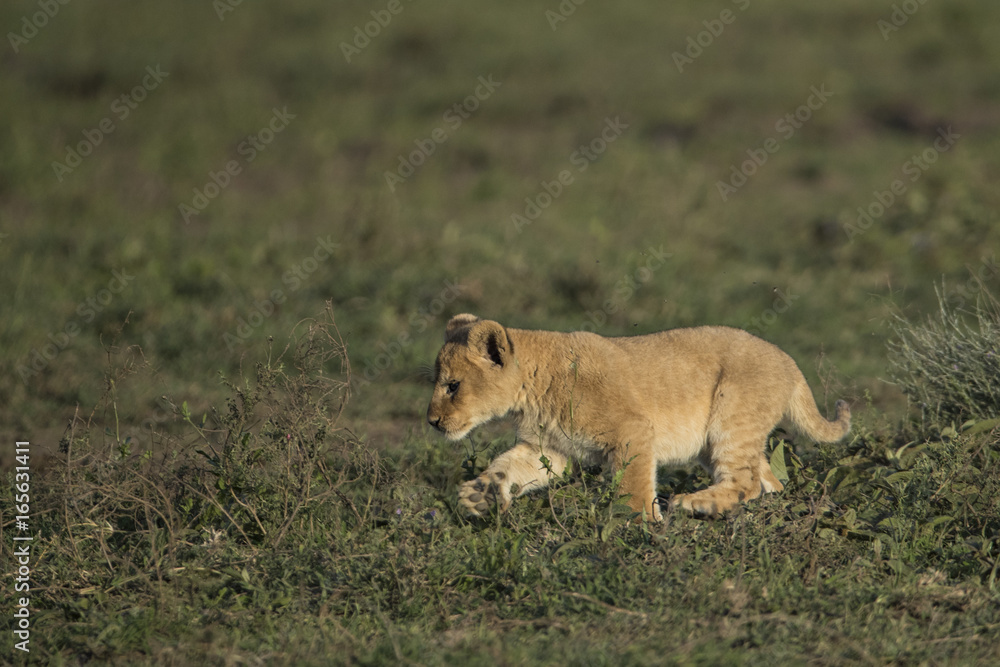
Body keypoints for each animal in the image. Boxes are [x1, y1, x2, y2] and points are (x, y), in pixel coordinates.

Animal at [426, 314, 850, 520]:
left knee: (745, 482)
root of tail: (789, 361)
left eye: (452, 386)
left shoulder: (632, 431)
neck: (530, 390)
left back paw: (693, 505)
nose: (431, 421)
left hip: (731, 419)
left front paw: (640, 528)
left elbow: (632, 488)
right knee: (766, 482)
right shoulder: (548, 450)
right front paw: (478, 497)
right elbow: (507, 467)